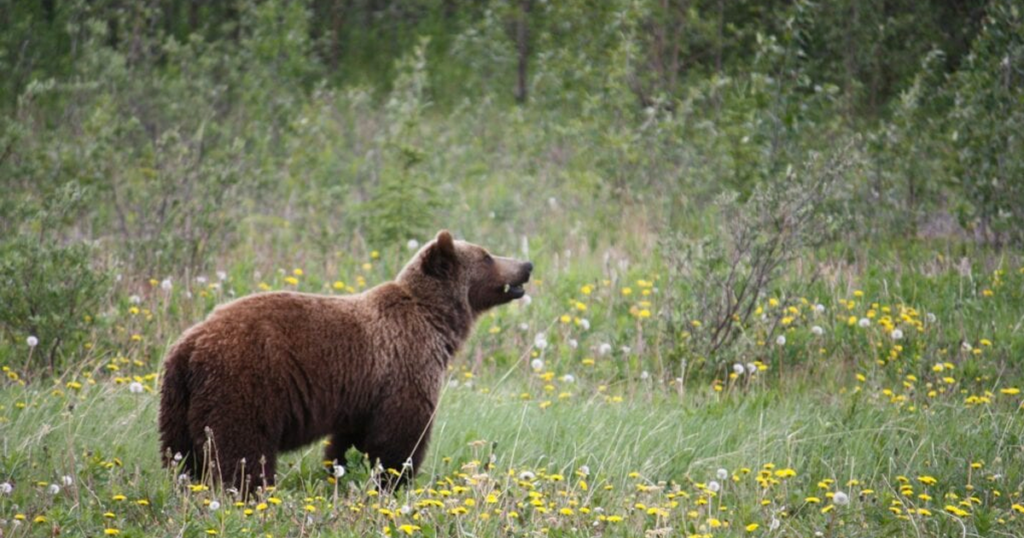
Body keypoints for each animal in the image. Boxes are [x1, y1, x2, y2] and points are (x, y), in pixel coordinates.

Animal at [158, 230, 532, 493]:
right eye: (487, 256)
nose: (526, 265)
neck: (436, 322)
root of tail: (190, 345)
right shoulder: (405, 366)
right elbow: (400, 437)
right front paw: (393, 481)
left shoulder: (363, 393)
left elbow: (350, 442)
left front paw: (342, 473)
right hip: (244, 384)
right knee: (241, 450)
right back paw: (249, 492)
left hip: (177, 400)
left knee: (180, 456)